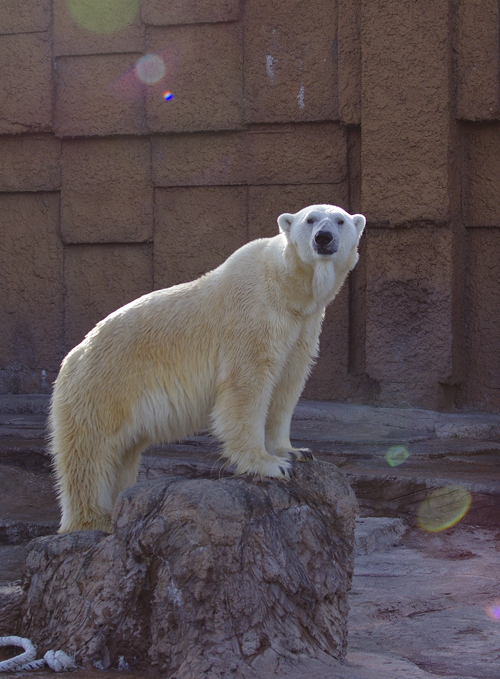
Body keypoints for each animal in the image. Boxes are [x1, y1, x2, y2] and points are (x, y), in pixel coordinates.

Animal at [48, 205, 366, 532]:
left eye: (340, 220)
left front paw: (294, 451)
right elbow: (247, 385)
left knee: (120, 455)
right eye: (310, 220)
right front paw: (268, 464)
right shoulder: (253, 316)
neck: (285, 287)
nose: (324, 237)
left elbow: (286, 387)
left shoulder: (302, 327)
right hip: (103, 387)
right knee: (91, 454)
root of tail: (72, 357)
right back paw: (94, 520)